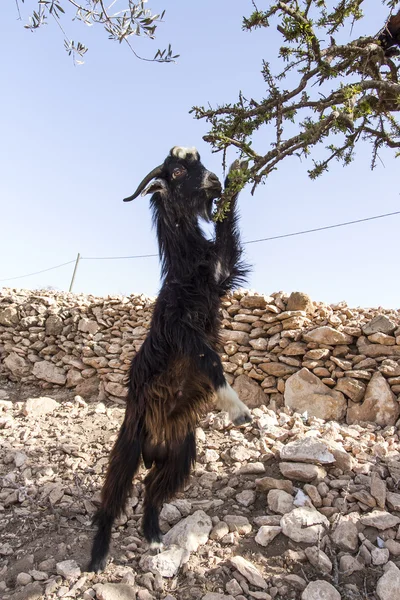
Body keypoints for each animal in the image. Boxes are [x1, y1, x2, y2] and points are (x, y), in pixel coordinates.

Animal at [88, 145, 252, 572]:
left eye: (202, 161)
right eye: (176, 171)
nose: (213, 180)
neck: (187, 267)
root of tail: (155, 444)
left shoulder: (222, 273)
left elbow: (229, 235)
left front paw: (239, 170)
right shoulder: (182, 329)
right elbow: (210, 360)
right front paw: (238, 409)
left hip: (179, 457)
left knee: (151, 490)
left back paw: (154, 538)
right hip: (128, 447)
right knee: (112, 499)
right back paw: (97, 557)